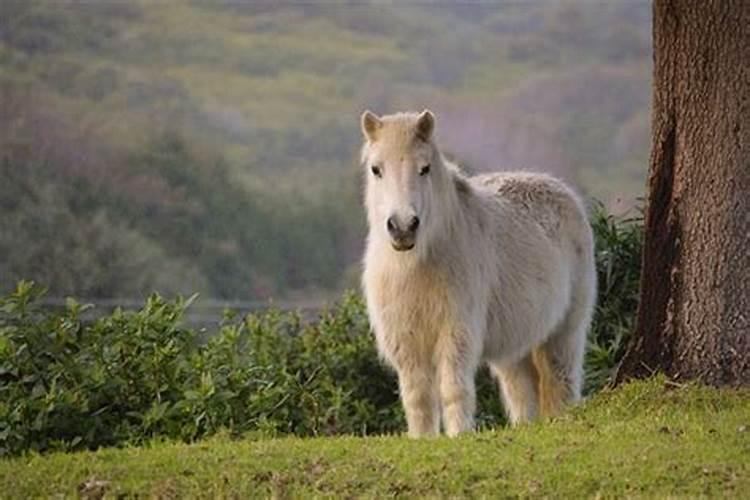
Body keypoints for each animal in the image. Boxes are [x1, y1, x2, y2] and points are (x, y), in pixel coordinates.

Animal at [362, 110, 596, 438]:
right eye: (376, 169)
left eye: (424, 168)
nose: (403, 227)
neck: (417, 265)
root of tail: (563, 191)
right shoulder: (406, 340)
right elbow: (417, 397)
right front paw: (423, 439)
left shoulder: (456, 332)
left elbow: (453, 389)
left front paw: (458, 435)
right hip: (515, 349)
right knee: (522, 392)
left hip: (563, 334)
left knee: (560, 382)